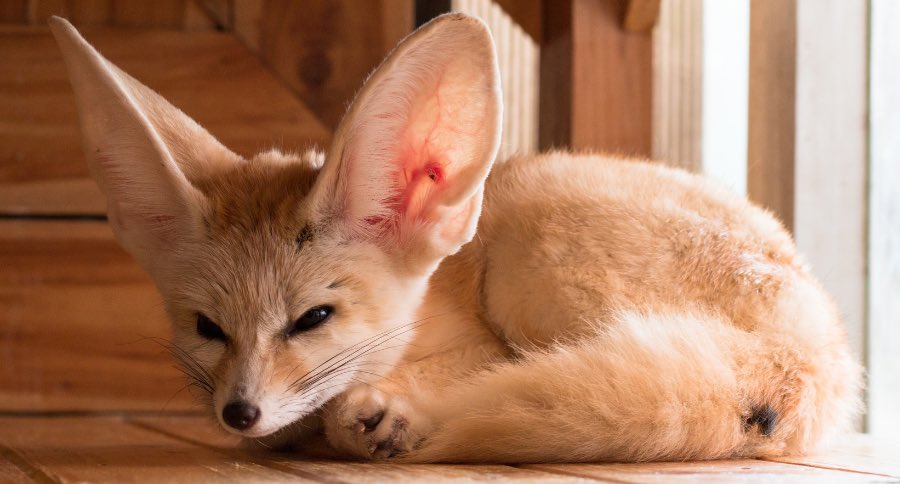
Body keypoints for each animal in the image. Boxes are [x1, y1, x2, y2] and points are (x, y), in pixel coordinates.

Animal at [50, 13, 862, 463]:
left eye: (314, 318)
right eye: (207, 328)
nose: (238, 414)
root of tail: (820, 342)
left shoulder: (483, 341)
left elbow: (416, 387)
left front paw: (382, 415)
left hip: (533, 255)